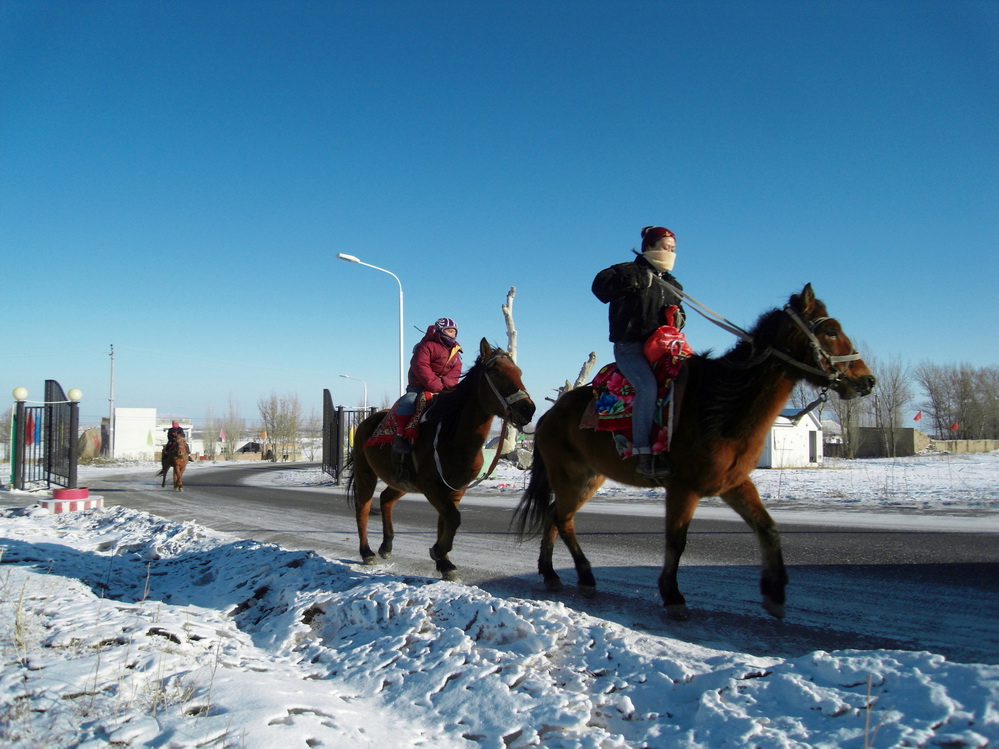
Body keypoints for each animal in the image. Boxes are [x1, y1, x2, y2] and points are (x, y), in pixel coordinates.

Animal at [348, 338, 536, 580]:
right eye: (495, 372)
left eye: (518, 372)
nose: (528, 409)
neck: (453, 434)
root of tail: (365, 423)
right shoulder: (431, 486)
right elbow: (453, 519)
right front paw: (438, 552)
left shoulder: (455, 489)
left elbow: (446, 521)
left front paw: (444, 563)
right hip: (366, 475)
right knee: (362, 509)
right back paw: (367, 552)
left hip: (402, 483)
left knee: (386, 499)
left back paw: (386, 546)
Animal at [516, 284, 876, 620]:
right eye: (831, 331)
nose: (867, 380)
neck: (719, 407)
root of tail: (549, 415)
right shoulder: (682, 488)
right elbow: (676, 540)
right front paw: (673, 596)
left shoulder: (734, 484)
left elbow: (768, 529)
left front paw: (775, 593)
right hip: (570, 477)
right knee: (562, 518)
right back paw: (584, 576)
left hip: (589, 479)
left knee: (555, 515)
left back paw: (551, 573)